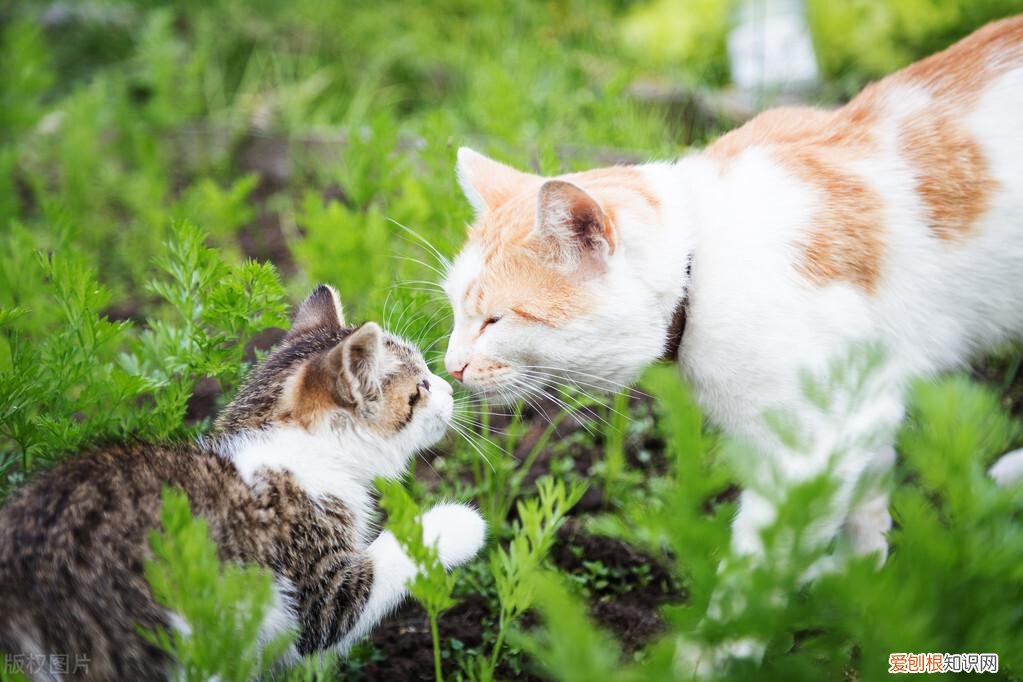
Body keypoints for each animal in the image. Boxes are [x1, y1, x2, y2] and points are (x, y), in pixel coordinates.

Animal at [0, 286, 486, 678]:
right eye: (421, 387)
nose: (449, 387)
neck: (298, 448)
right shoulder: (311, 590)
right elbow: (376, 569)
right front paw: (460, 524)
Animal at [441, 18, 1023, 564]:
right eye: (457, 313)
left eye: (494, 320)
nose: (451, 367)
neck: (699, 266)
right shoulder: (865, 407)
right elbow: (866, 509)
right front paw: (858, 580)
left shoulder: (811, 448)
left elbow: (754, 576)